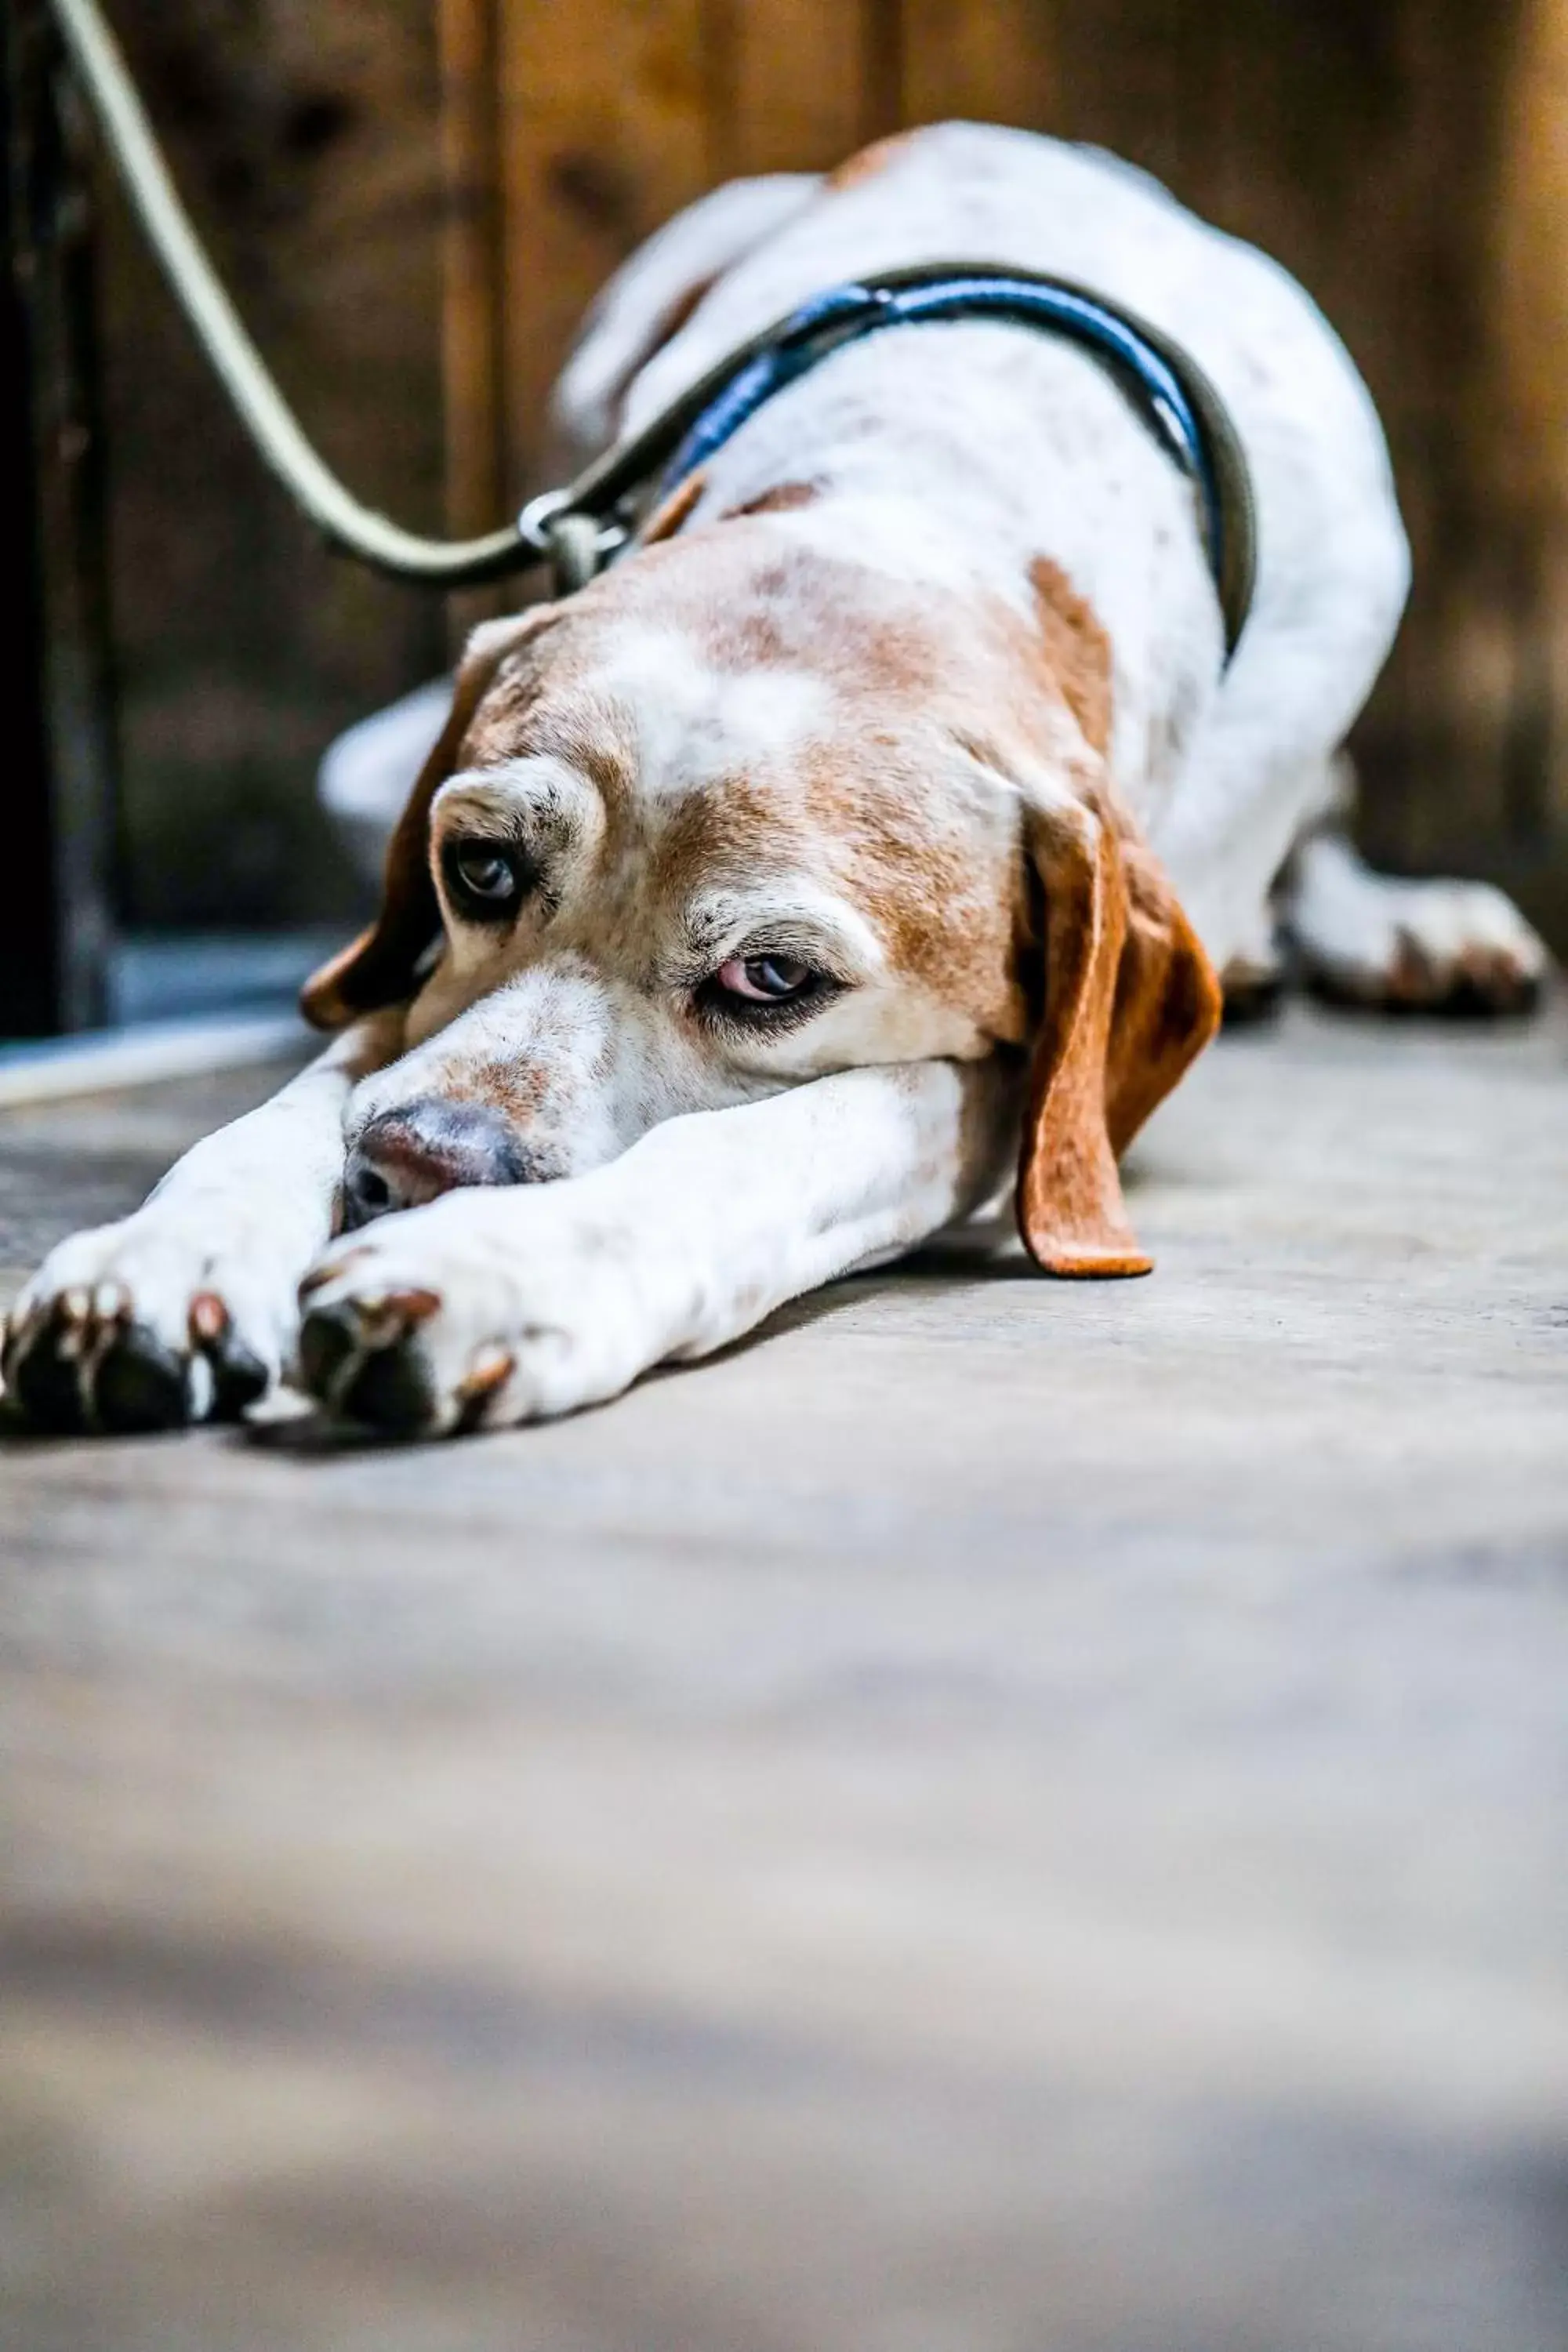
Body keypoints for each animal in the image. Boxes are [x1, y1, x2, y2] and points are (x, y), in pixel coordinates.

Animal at [2, 133, 1542, 1449]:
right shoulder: (419, 974)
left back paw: (1395, 927)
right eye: (481, 868)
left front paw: (494, 1268)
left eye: (772, 981)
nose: (416, 1168)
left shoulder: (1009, 1089)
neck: (940, 477)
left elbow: (769, 1149)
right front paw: (169, 1251)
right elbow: (316, 1081)